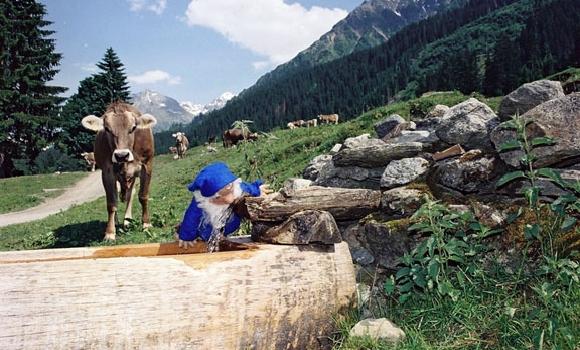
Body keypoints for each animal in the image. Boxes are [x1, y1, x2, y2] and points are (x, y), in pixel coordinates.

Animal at [81, 102, 157, 241]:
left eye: (133, 128)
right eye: (107, 129)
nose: (121, 155)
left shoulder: (147, 165)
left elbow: (143, 196)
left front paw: (146, 224)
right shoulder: (107, 172)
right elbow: (111, 203)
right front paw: (110, 232)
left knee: (130, 195)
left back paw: (127, 220)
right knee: (117, 196)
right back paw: (116, 222)